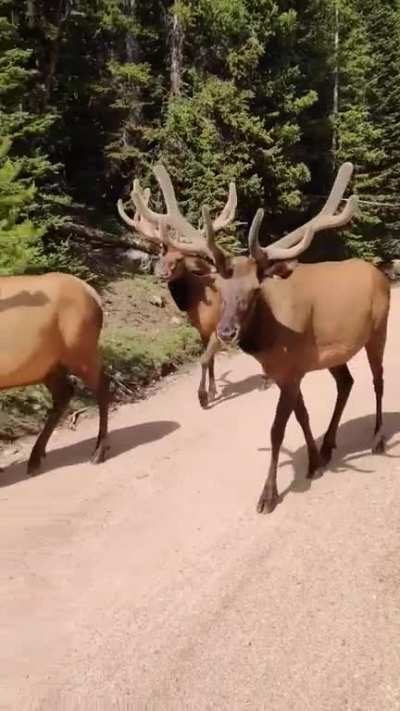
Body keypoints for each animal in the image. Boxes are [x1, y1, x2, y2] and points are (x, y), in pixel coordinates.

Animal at [0, 273, 109, 475]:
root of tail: (93, 293)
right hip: (50, 367)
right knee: (65, 393)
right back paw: (35, 457)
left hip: (80, 350)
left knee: (102, 385)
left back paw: (98, 452)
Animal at [117, 165, 237, 407]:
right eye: (163, 252)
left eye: (180, 259)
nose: (161, 272)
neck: (199, 301)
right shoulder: (202, 330)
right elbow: (210, 361)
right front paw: (212, 391)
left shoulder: (216, 329)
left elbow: (204, 360)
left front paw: (202, 396)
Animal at [137, 161, 390, 514]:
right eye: (220, 287)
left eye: (255, 290)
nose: (226, 331)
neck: (271, 338)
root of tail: (380, 273)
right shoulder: (289, 371)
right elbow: (302, 416)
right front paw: (313, 461)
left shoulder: (292, 370)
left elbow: (276, 430)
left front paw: (268, 495)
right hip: (335, 352)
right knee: (347, 382)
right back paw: (329, 446)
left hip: (379, 330)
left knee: (378, 380)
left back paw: (378, 439)